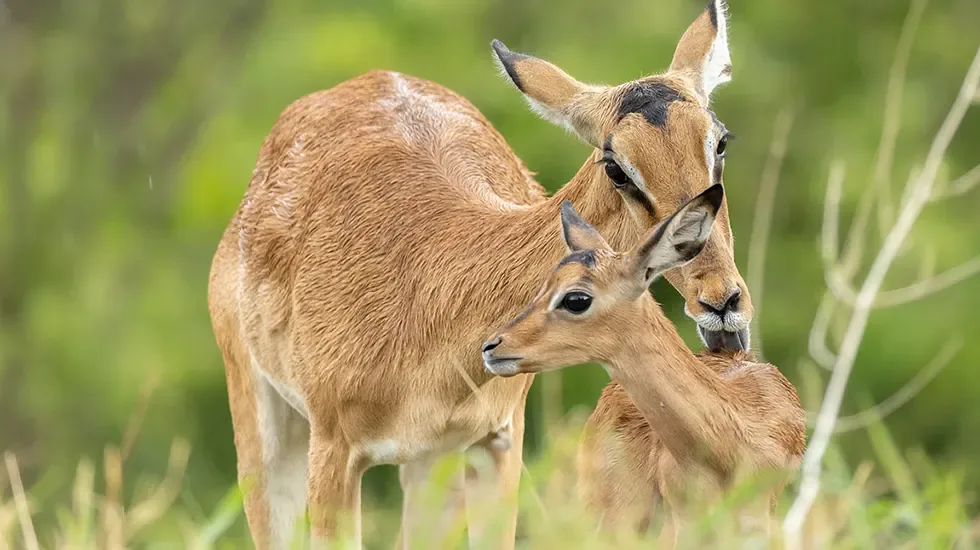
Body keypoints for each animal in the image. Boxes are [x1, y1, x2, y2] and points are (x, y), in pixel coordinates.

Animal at [206, 1, 751, 547]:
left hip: (431, 466)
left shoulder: (496, 441)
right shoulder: (335, 449)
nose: (721, 301)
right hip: (270, 436)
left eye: (720, 142)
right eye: (615, 165)